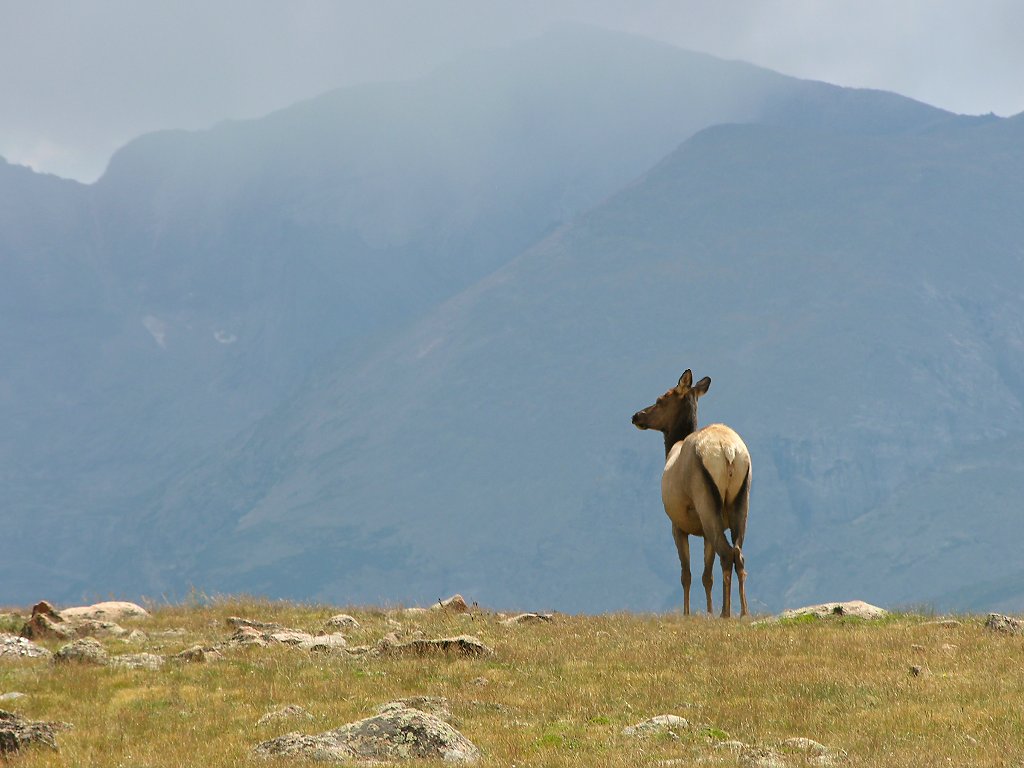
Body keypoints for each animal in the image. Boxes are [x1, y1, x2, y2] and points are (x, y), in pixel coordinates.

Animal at [631, 369, 751, 617]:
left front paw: (688, 613)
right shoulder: (703, 533)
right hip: (741, 500)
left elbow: (686, 575)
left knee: (727, 553)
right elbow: (707, 576)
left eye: (660, 399)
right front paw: (708, 612)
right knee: (738, 553)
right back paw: (743, 612)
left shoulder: (677, 525)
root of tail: (728, 450)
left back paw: (726, 612)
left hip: (706, 502)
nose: (637, 416)